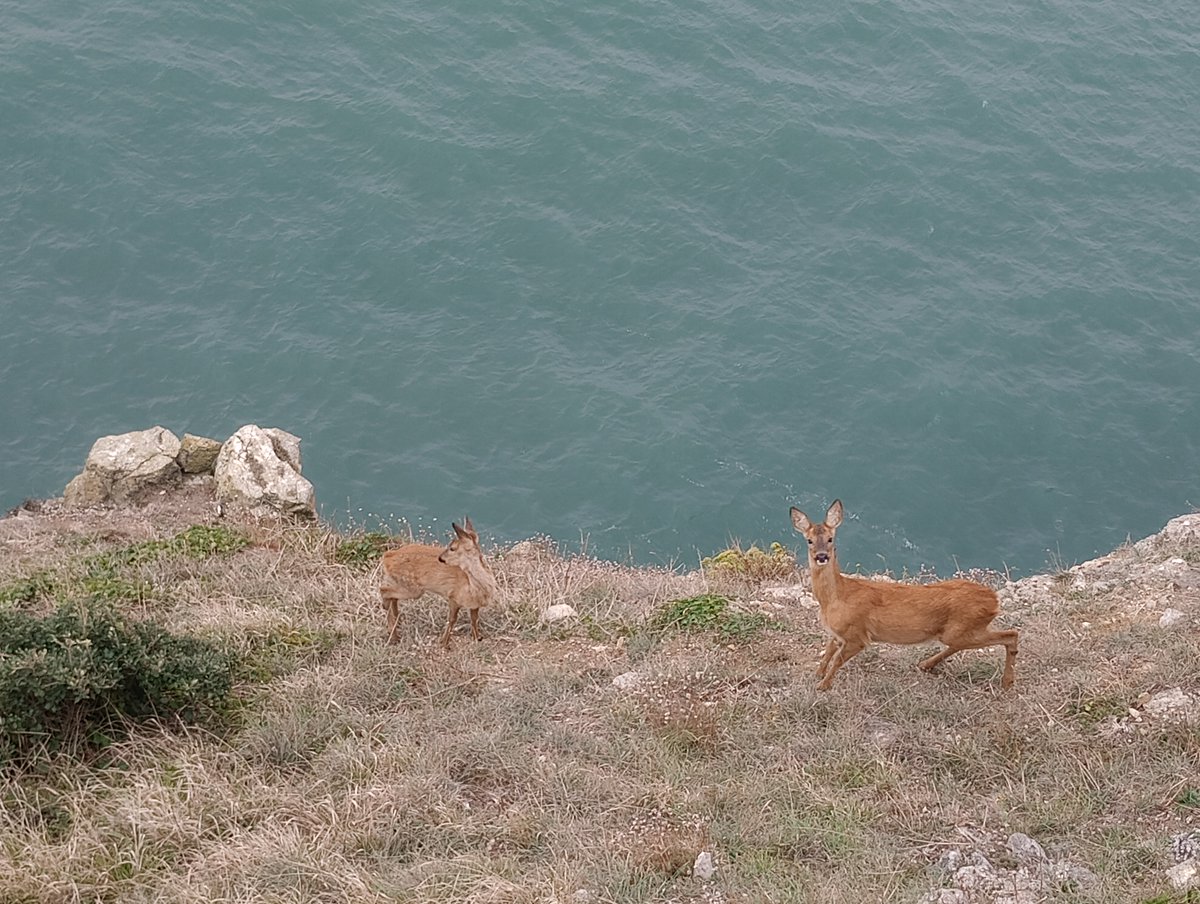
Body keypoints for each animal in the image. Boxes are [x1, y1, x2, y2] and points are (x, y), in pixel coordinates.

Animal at [381, 513, 499, 648]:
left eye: (452, 548)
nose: (441, 558)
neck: (473, 586)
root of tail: (388, 556)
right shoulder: (453, 596)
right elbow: (452, 620)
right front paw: (444, 643)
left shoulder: (474, 604)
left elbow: (474, 619)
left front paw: (477, 638)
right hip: (413, 589)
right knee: (384, 590)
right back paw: (392, 631)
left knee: (392, 595)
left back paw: (396, 622)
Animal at [792, 501, 1017, 691]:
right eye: (809, 540)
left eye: (830, 539)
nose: (822, 556)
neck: (835, 598)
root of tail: (993, 600)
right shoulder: (839, 633)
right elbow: (828, 651)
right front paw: (818, 673)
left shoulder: (858, 635)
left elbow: (837, 659)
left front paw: (823, 685)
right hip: (960, 631)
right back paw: (926, 664)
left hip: (963, 628)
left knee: (1011, 634)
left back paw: (1007, 682)